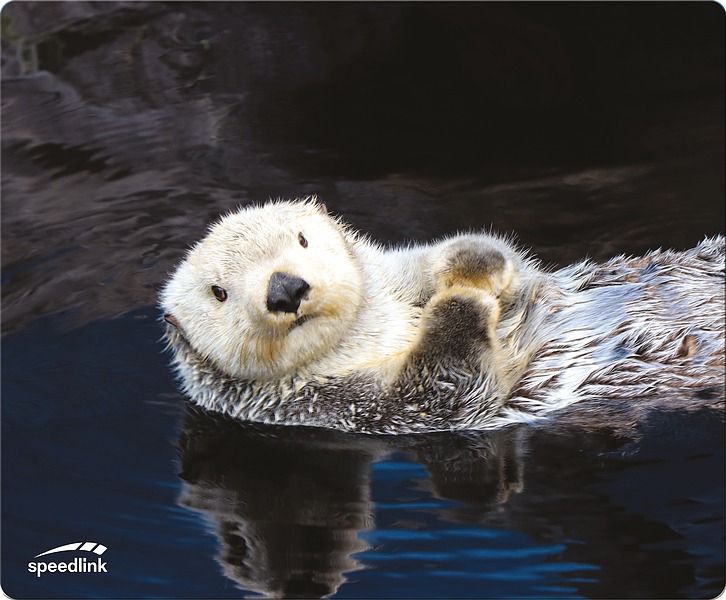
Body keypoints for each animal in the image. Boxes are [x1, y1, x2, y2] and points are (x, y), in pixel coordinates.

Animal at [160, 199, 724, 434]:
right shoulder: (342, 407)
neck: (369, 331)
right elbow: (447, 388)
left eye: (301, 240)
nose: (285, 288)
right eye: (218, 292)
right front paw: (462, 302)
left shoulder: (398, 274)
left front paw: (471, 266)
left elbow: (501, 260)